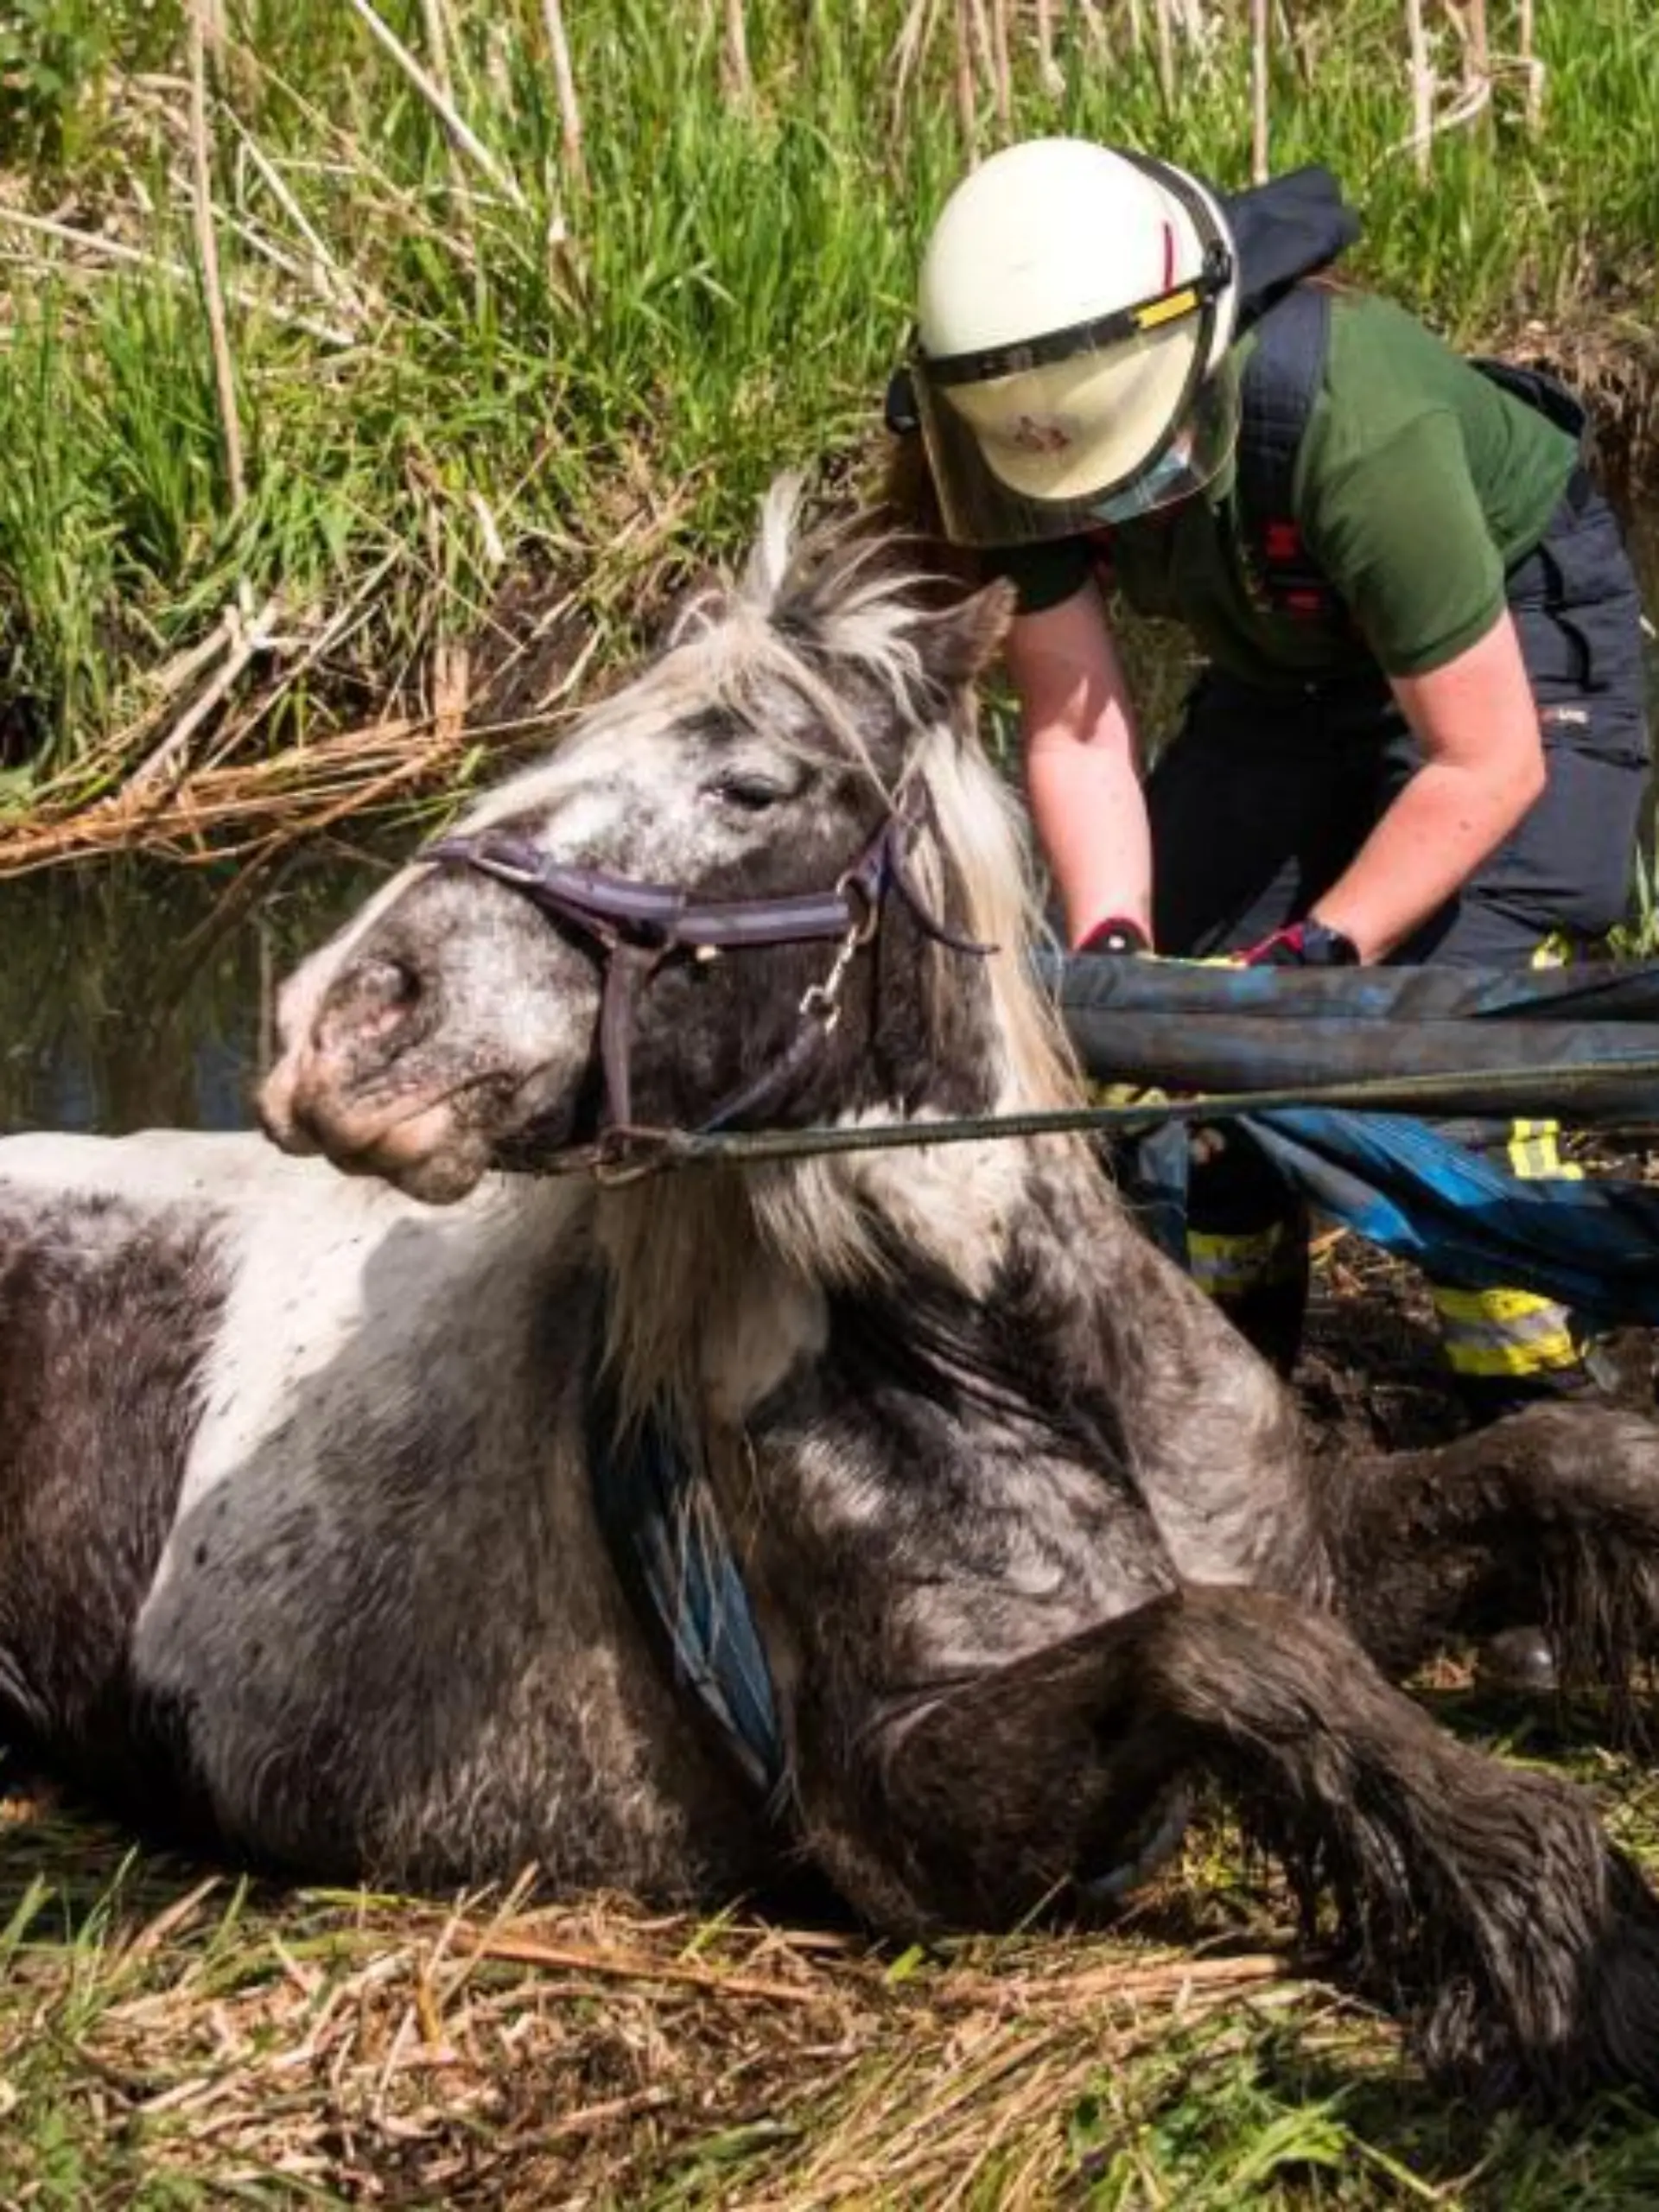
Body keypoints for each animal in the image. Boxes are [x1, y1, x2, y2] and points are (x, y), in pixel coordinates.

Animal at [5, 488, 1659, 2106]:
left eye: (749, 787)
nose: (338, 1024)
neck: (1005, 1358)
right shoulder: (901, 1817)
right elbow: (1232, 1650)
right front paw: (1541, 1907)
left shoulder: (1311, 1546)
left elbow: (1563, 1462)